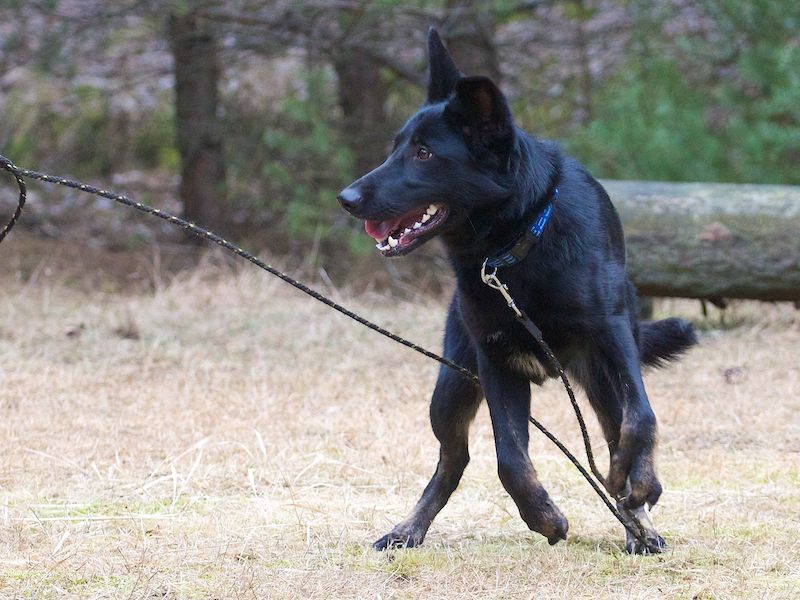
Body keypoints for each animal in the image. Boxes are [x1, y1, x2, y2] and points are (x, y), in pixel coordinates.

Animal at [337, 28, 697, 554]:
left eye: (424, 153)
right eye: (396, 147)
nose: (346, 199)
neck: (516, 245)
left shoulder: (612, 338)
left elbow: (641, 420)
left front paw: (637, 485)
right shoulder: (496, 362)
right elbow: (510, 458)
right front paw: (544, 517)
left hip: (600, 378)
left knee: (618, 430)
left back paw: (638, 522)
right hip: (451, 388)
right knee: (453, 461)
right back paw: (410, 529)